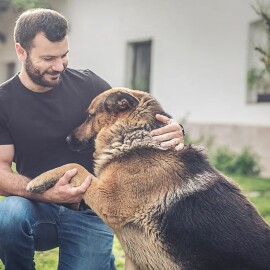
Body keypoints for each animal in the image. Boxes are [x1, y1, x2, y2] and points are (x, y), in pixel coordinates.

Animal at [26, 87, 270, 268]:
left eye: (89, 115)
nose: (67, 139)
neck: (134, 136)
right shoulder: (135, 258)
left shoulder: (111, 202)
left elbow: (76, 166)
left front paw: (38, 180)